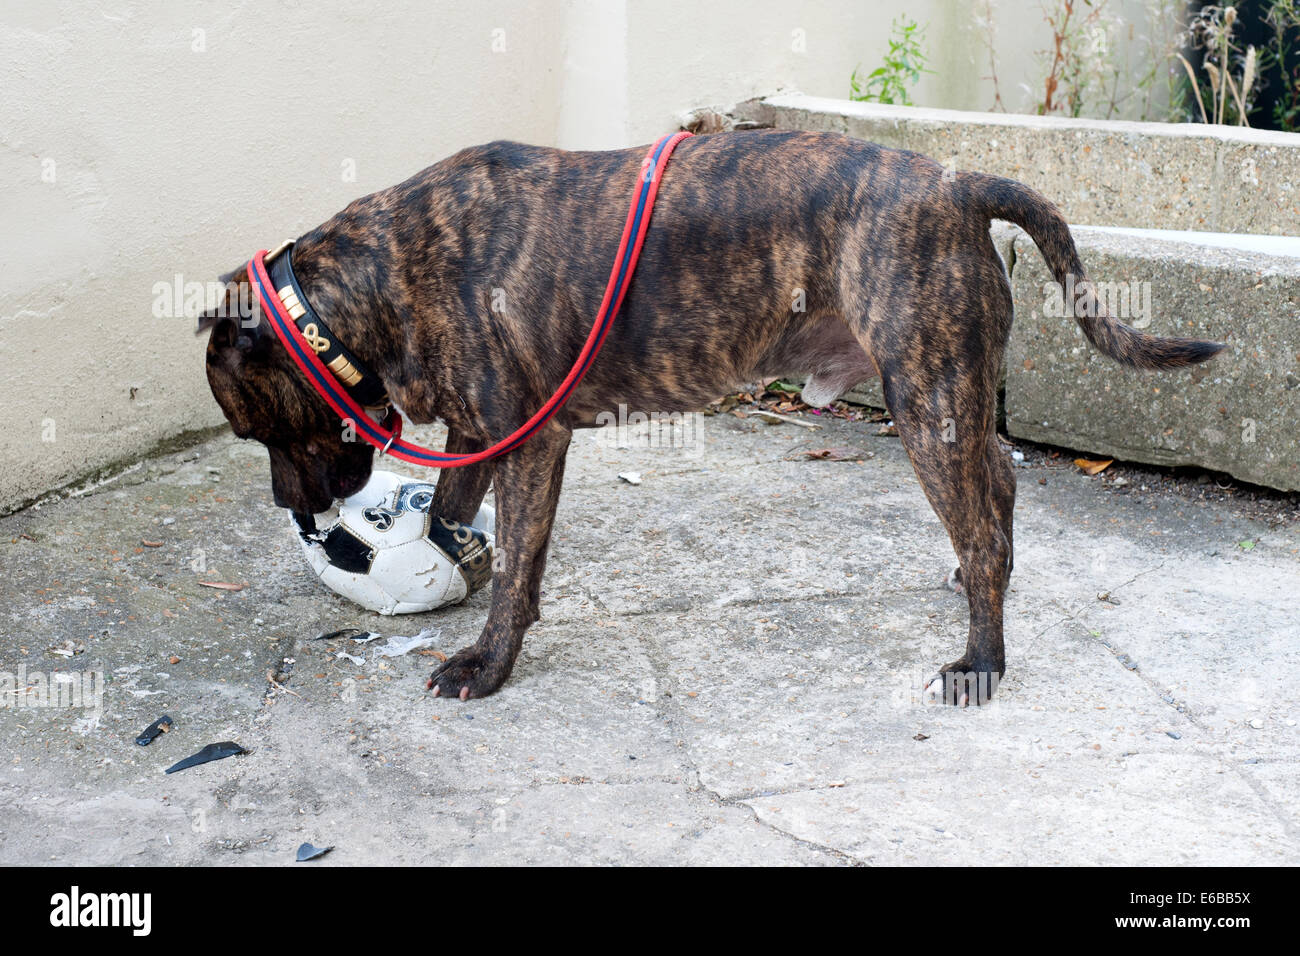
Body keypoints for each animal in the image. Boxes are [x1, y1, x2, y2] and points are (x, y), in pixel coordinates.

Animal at [197, 128, 1222, 702]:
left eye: (257, 432)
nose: (296, 514)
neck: (388, 269)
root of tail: (958, 181)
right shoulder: (490, 429)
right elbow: (458, 509)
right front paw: (455, 558)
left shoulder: (536, 440)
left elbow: (517, 558)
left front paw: (488, 664)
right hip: (951, 400)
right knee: (997, 490)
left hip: (927, 402)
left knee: (983, 526)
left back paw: (983, 658)